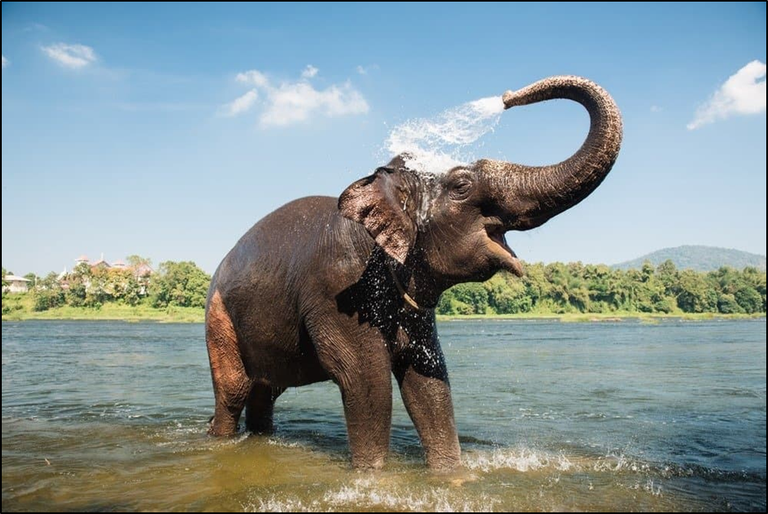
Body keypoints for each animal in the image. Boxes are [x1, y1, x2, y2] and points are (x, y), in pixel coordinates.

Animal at [205, 75, 622, 470]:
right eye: (461, 185)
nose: (507, 96)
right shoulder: (337, 289)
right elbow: (366, 381)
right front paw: (373, 476)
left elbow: (428, 380)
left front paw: (451, 475)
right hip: (218, 318)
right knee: (234, 391)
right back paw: (220, 439)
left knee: (265, 392)